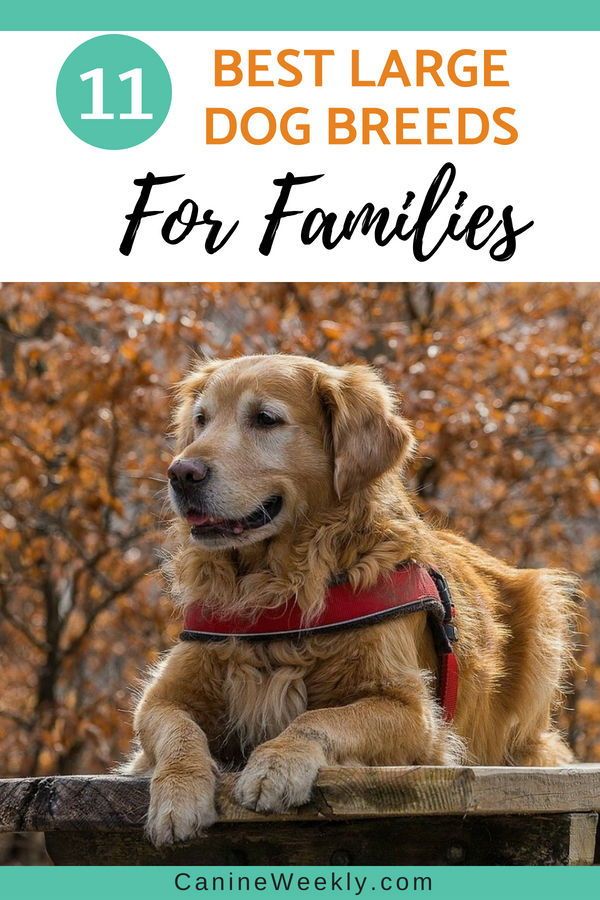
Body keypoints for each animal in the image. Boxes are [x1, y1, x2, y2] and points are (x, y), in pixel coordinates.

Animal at [124, 352, 580, 844]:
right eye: (201, 420)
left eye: (265, 419)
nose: (181, 473)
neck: (278, 588)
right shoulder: (161, 697)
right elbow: (178, 731)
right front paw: (178, 794)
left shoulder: (412, 711)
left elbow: (318, 720)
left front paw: (275, 764)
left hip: (544, 610)